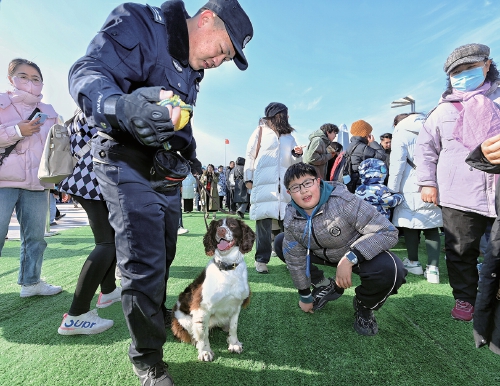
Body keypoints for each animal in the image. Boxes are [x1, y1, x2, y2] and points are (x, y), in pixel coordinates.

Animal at [173, 217, 258, 362]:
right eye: (217, 226)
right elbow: (203, 335)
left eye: (233, 225)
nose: (221, 230)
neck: (227, 269)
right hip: (183, 319)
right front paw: (205, 352)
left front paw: (234, 344)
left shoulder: (236, 305)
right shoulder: (201, 309)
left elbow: (234, 327)